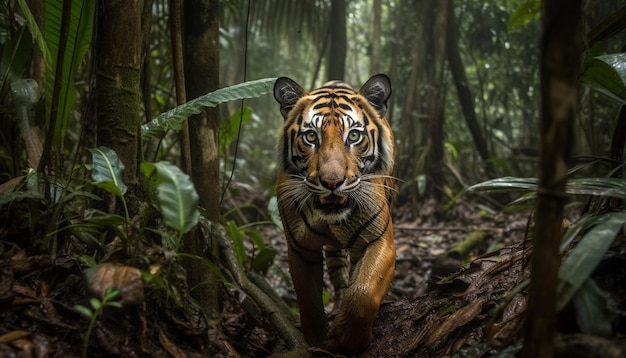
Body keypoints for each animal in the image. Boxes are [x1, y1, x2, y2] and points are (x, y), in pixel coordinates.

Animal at [272, 74, 394, 354]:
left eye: (354, 136)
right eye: (310, 136)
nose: (332, 182)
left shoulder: (379, 239)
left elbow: (364, 291)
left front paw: (347, 340)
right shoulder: (301, 249)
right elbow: (308, 301)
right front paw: (316, 342)